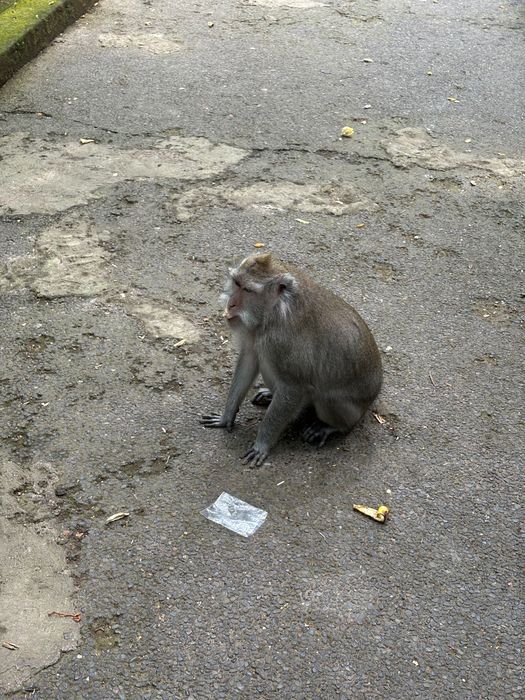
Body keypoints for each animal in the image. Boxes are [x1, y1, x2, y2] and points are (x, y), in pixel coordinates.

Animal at [201, 253, 383, 467]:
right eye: (236, 283)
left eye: (247, 290)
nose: (231, 304)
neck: (273, 312)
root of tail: (372, 398)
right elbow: (249, 361)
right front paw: (225, 417)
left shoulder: (281, 341)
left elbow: (293, 386)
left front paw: (262, 444)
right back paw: (270, 395)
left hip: (351, 410)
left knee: (327, 399)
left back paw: (331, 427)